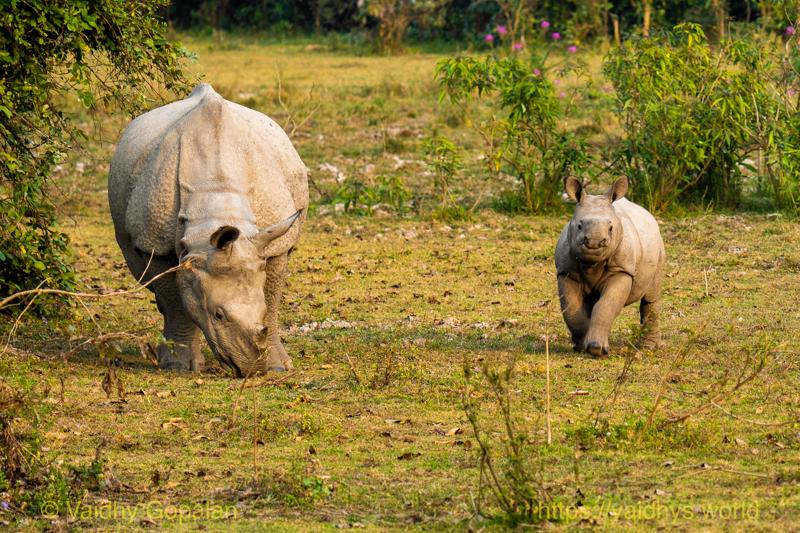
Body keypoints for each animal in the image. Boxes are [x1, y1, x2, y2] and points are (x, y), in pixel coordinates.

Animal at [109, 84, 308, 376]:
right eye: (218, 315)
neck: (216, 197)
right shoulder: (155, 244)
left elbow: (271, 300)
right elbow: (175, 301)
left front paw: (277, 367)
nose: (251, 369)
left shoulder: (273, 241)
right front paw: (178, 367)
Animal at [555, 176, 665, 357]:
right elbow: (571, 309)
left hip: (659, 246)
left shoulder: (621, 270)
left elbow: (606, 306)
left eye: (611, 228)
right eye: (579, 226)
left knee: (650, 296)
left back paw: (648, 347)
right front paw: (581, 345)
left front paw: (596, 349)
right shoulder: (566, 272)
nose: (594, 242)